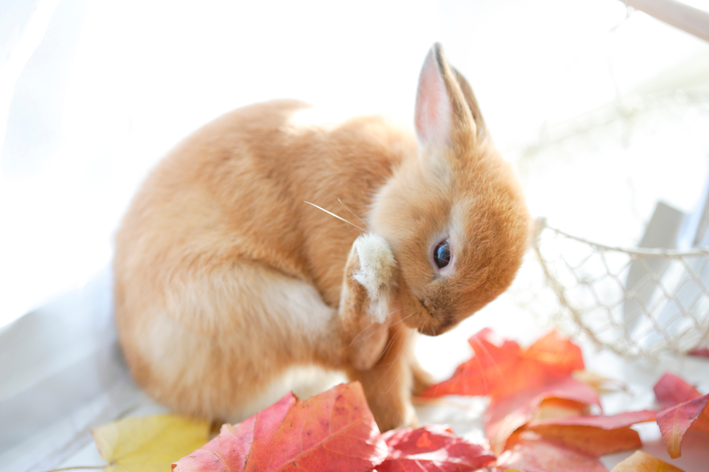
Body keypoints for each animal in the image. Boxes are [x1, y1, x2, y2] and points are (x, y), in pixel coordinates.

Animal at [113, 44, 528, 432]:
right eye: (442, 254)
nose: (430, 328)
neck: (385, 186)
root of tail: (162, 389)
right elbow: (376, 378)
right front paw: (402, 429)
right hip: (245, 301)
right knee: (347, 347)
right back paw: (371, 270)